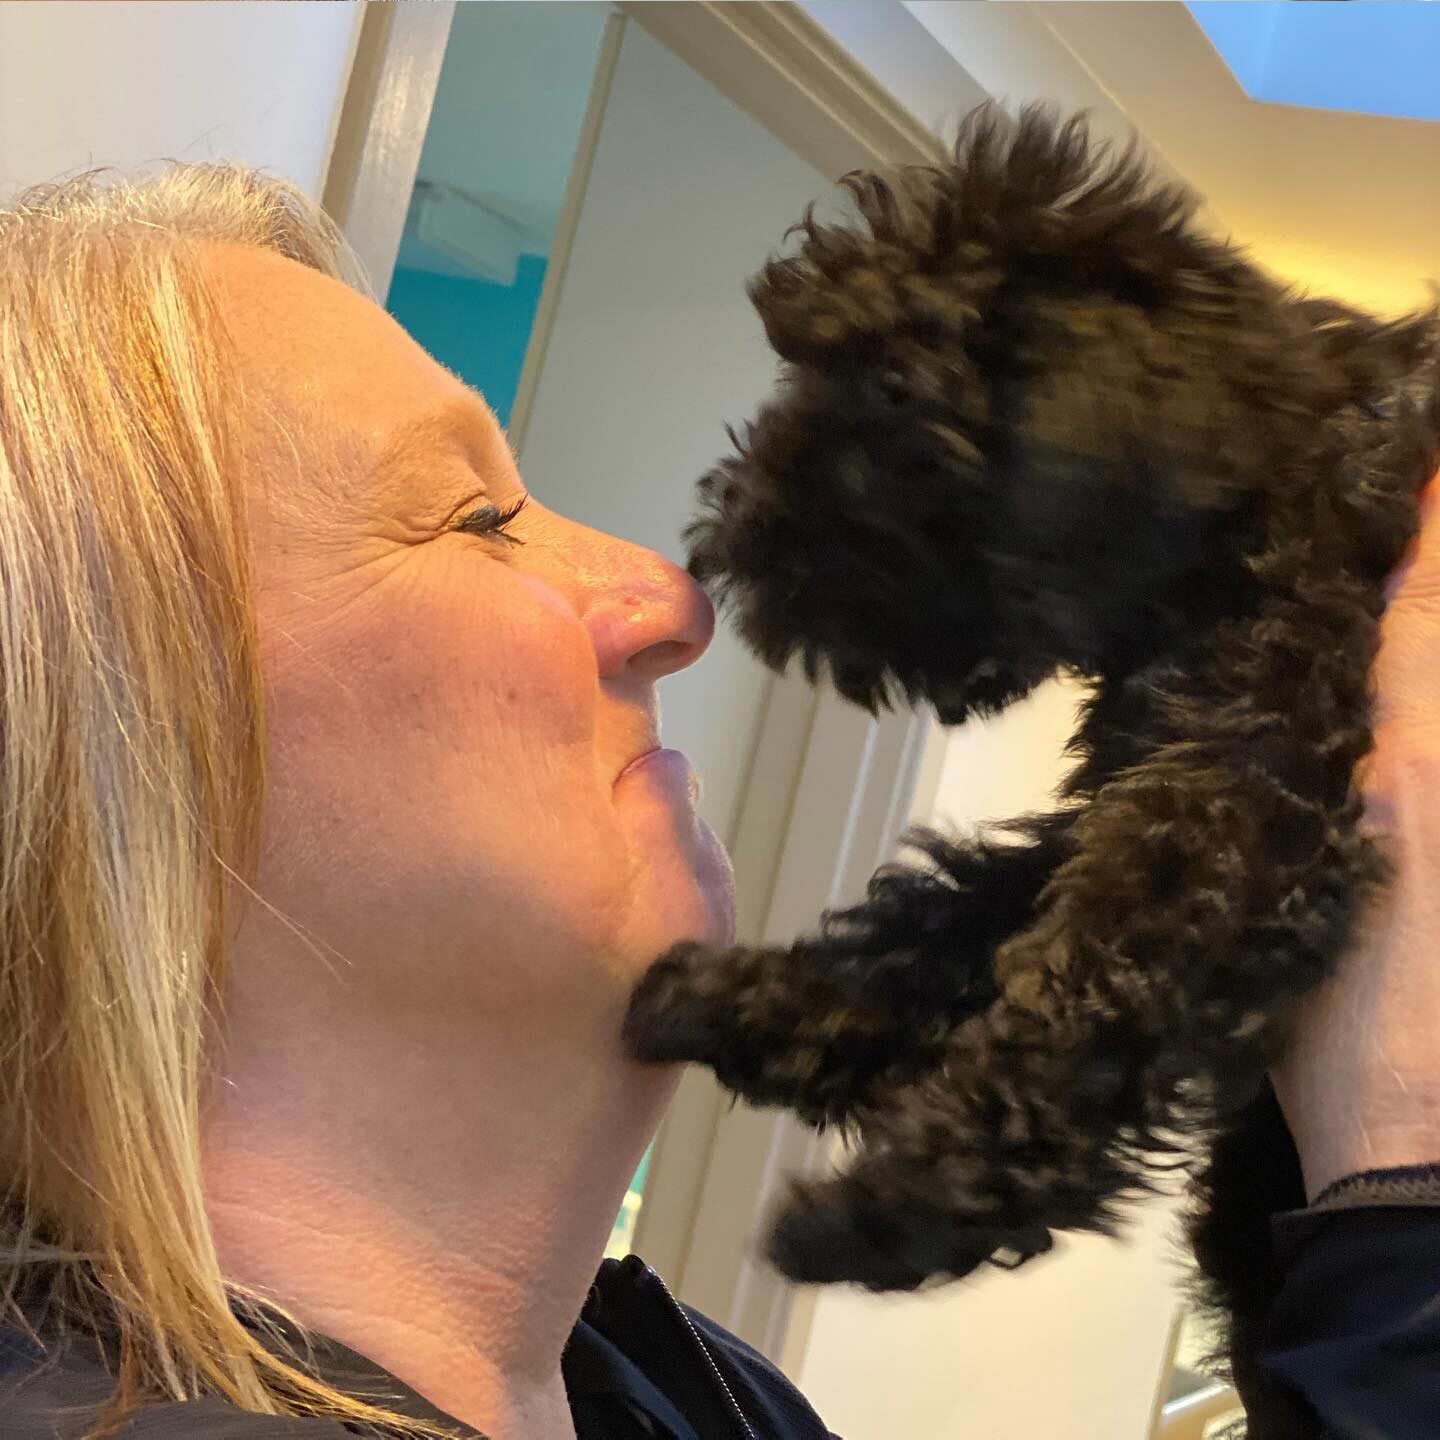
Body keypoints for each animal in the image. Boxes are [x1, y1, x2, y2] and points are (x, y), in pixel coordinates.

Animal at [624, 106, 1440, 1434]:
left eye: (890, 395)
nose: (723, 549)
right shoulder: (1135, 791)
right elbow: (950, 919)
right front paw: (760, 999)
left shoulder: (1241, 797)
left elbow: (1086, 985)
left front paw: (895, 1204)